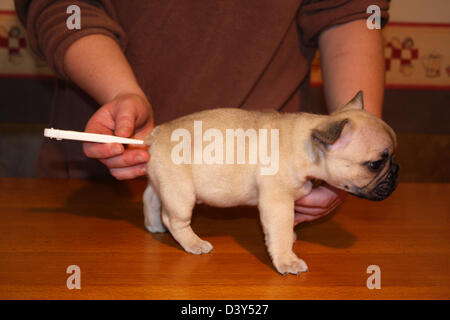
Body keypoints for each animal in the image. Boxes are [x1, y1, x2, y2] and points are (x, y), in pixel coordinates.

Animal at [142, 90, 400, 276]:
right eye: (375, 164)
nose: (396, 172)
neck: (306, 144)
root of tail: (156, 134)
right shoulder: (278, 202)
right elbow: (281, 231)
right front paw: (287, 260)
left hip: (162, 181)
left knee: (150, 197)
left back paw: (154, 225)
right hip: (182, 194)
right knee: (175, 220)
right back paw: (193, 243)